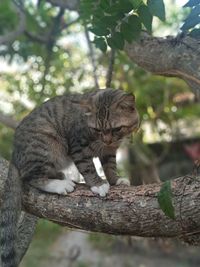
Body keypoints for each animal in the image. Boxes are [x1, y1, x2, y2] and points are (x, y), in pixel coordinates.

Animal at [0, 88, 139, 267]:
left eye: (116, 129)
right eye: (97, 130)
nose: (107, 140)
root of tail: (14, 153)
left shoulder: (109, 151)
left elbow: (110, 166)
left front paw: (115, 180)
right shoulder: (78, 146)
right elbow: (88, 167)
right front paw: (98, 184)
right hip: (47, 144)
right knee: (31, 176)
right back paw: (59, 184)